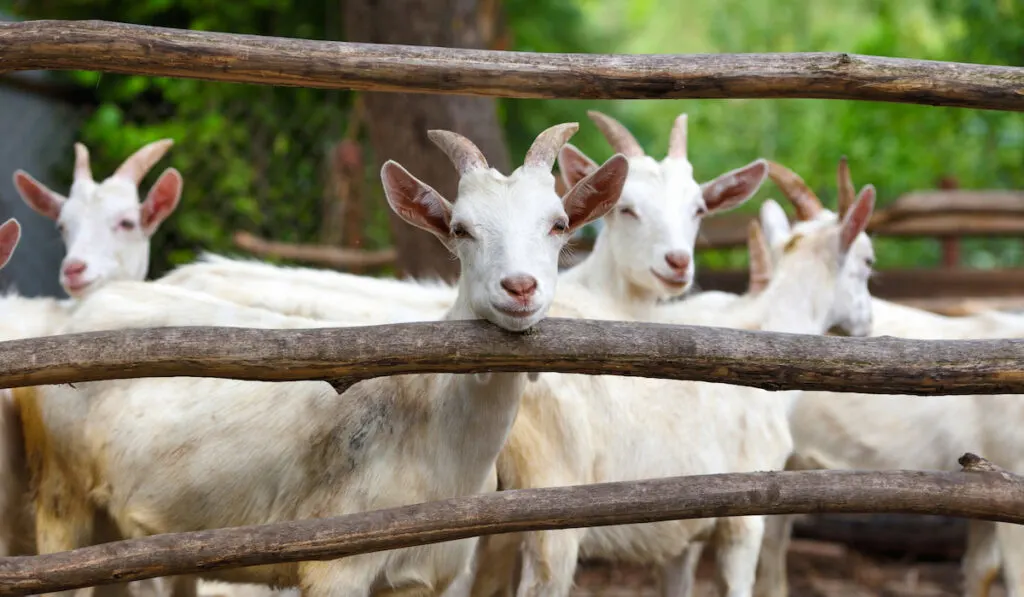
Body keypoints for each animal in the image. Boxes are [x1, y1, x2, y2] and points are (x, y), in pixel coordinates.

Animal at [18, 124, 630, 597]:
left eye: (558, 224)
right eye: (460, 229)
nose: (520, 287)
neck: (432, 428)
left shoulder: (428, 576)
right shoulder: (335, 562)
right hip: (60, 497)